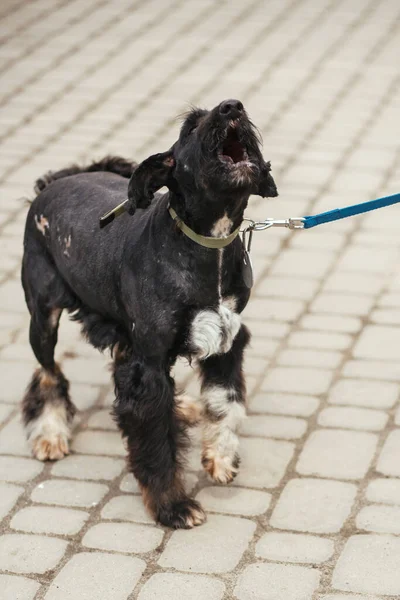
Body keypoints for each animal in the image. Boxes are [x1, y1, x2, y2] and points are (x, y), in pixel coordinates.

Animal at [21, 101, 278, 528]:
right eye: (191, 125)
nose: (232, 107)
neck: (205, 243)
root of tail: (56, 181)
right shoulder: (150, 367)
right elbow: (156, 441)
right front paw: (173, 506)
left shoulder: (227, 340)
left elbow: (227, 403)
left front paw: (220, 457)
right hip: (44, 313)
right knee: (48, 372)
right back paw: (50, 433)